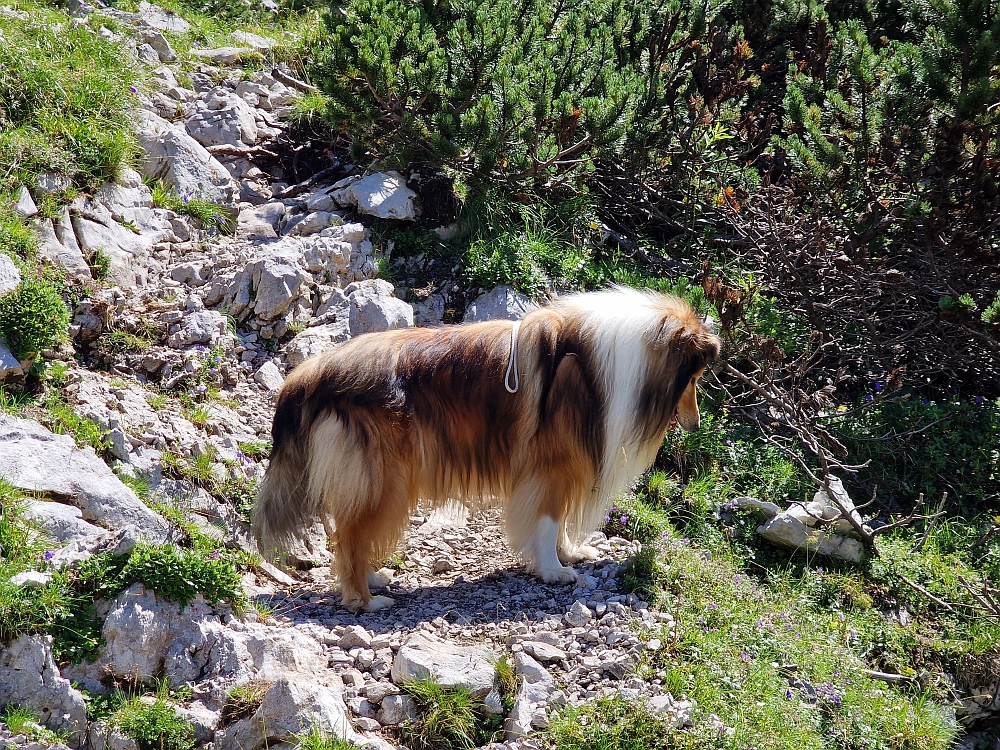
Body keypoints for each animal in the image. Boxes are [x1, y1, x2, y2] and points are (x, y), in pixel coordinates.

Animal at [250, 288, 720, 612]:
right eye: (696, 378)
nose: (698, 425)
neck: (600, 364)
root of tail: (310, 374)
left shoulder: (569, 466)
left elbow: (562, 522)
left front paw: (570, 553)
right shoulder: (551, 467)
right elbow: (548, 521)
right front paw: (553, 569)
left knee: (351, 533)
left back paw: (373, 578)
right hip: (385, 481)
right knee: (348, 537)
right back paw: (364, 599)